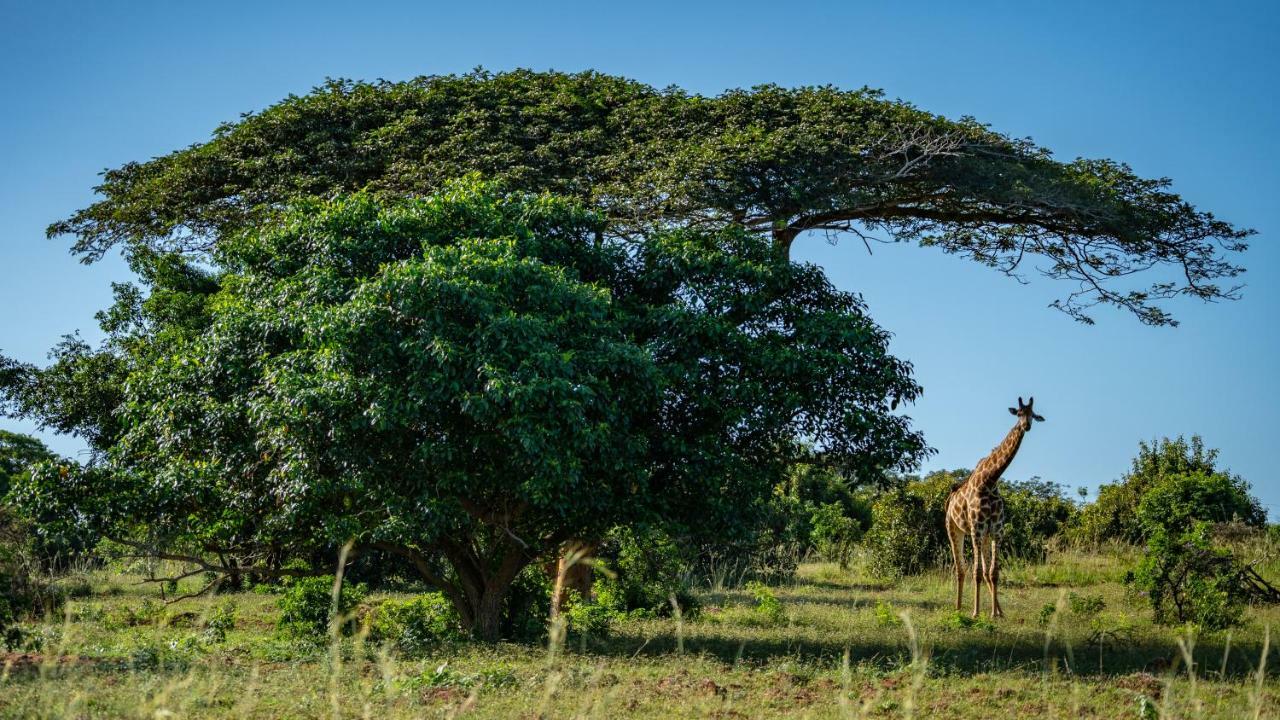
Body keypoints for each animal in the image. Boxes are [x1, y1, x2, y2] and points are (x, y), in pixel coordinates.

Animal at [947, 394, 1044, 614]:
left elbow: (993, 572)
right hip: (954, 529)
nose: (1026, 426)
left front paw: (994, 613)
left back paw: (997, 610)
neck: (990, 481)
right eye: (1019, 413)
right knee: (960, 568)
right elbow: (977, 572)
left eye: (1033, 414)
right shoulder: (976, 528)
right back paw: (958, 608)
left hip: (982, 535)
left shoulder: (997, 529)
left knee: (983, 570)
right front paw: (976, 613)